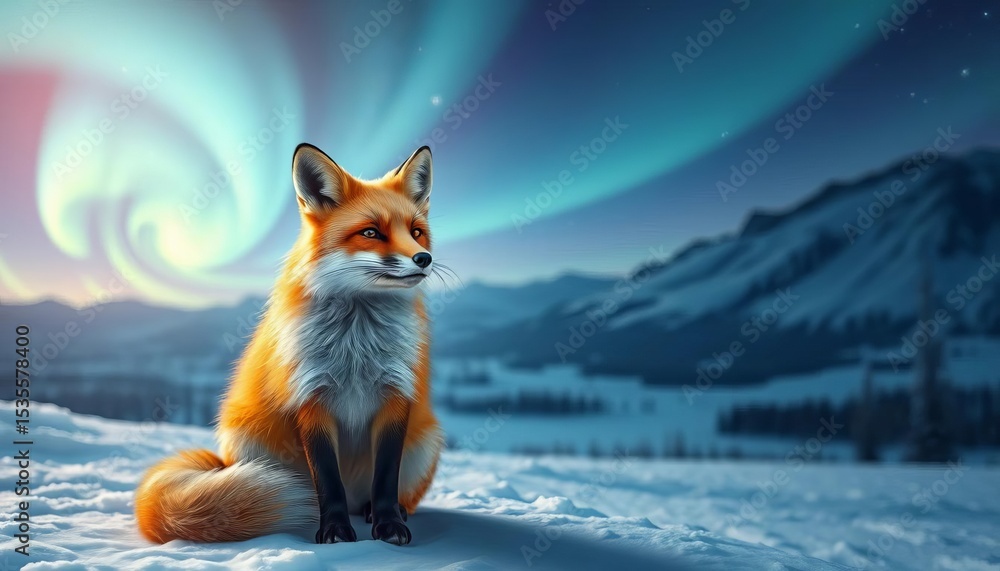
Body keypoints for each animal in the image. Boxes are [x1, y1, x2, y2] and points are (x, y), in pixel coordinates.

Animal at [134, 143, 445, 546]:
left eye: (416, 232)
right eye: (371, 232)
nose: (424, 259)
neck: (356, 347)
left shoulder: (396, 394)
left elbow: (386, 479)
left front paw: (389, 524)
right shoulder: (310, 396)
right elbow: (327, 481)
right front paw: (334, 530)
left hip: (425, 443)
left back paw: (379, 511)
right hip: (249, 439)